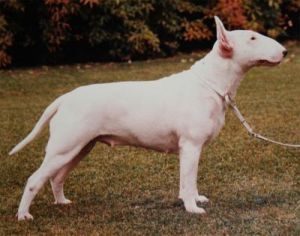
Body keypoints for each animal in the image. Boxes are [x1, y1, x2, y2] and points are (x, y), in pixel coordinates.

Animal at [8, 15, 286, 220]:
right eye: (252, 38)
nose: (284, 52)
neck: (211, 83)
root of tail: (65, 97)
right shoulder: (190, 146)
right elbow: (187, 180)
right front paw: (192, 208)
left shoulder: (194, 149)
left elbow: (192, 180)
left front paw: (196, 199)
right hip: (63, 148)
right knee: (34, 180)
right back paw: (23, 216)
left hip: (80, 148)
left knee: (56, 177)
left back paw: (62, 202)